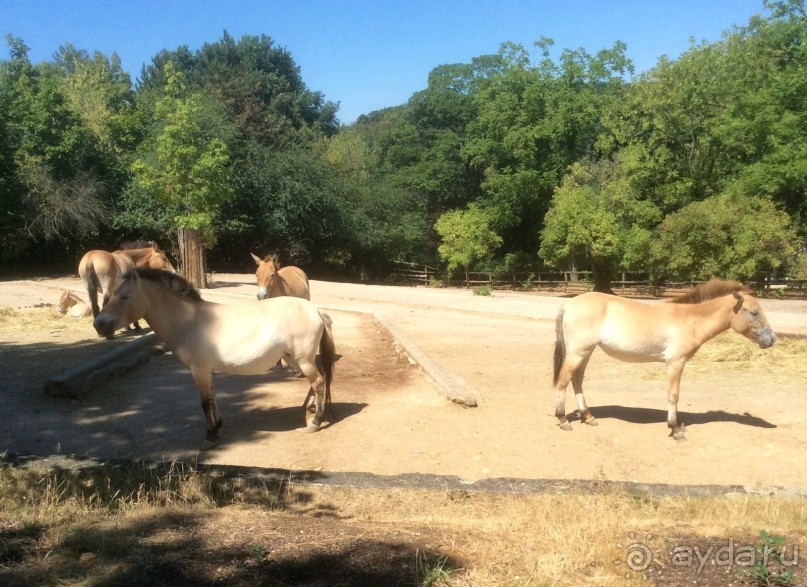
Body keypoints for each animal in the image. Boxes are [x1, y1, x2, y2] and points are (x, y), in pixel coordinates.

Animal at [93, 268, 336, 444]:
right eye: (112, 295)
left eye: (125, 297)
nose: (99, 324)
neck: (189, 321)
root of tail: (315, 310)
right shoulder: (206, 371)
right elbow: (213, 397)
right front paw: (218, 425)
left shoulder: (198, 371)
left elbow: (204, 402)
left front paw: (211, 434)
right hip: (293, 358)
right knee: (318, 380)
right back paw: (311, 411)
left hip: (302, 359)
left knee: (318, 381)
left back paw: (315, 421)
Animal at [556, 282, 776, 440]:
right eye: (754, 312)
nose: (772, 339)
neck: (689, 320)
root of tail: (569, 304)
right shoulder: (675, 363)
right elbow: (673, 395)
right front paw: (675, 429)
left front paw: (679, 424)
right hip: (578, 352)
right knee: (563, 382)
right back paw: (563, 420)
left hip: (586, 352)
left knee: (577, 380)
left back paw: (588, 417)